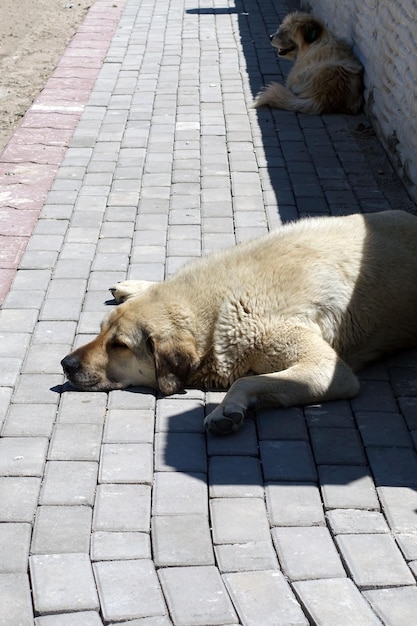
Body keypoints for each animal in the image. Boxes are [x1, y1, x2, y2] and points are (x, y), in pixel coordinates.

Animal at [61, 210, 416, 434]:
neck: (213, 305)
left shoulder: (328, 370)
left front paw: (226, 409)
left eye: (119, 345)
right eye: (101, 332)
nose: (66, 364)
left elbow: (244, 381)